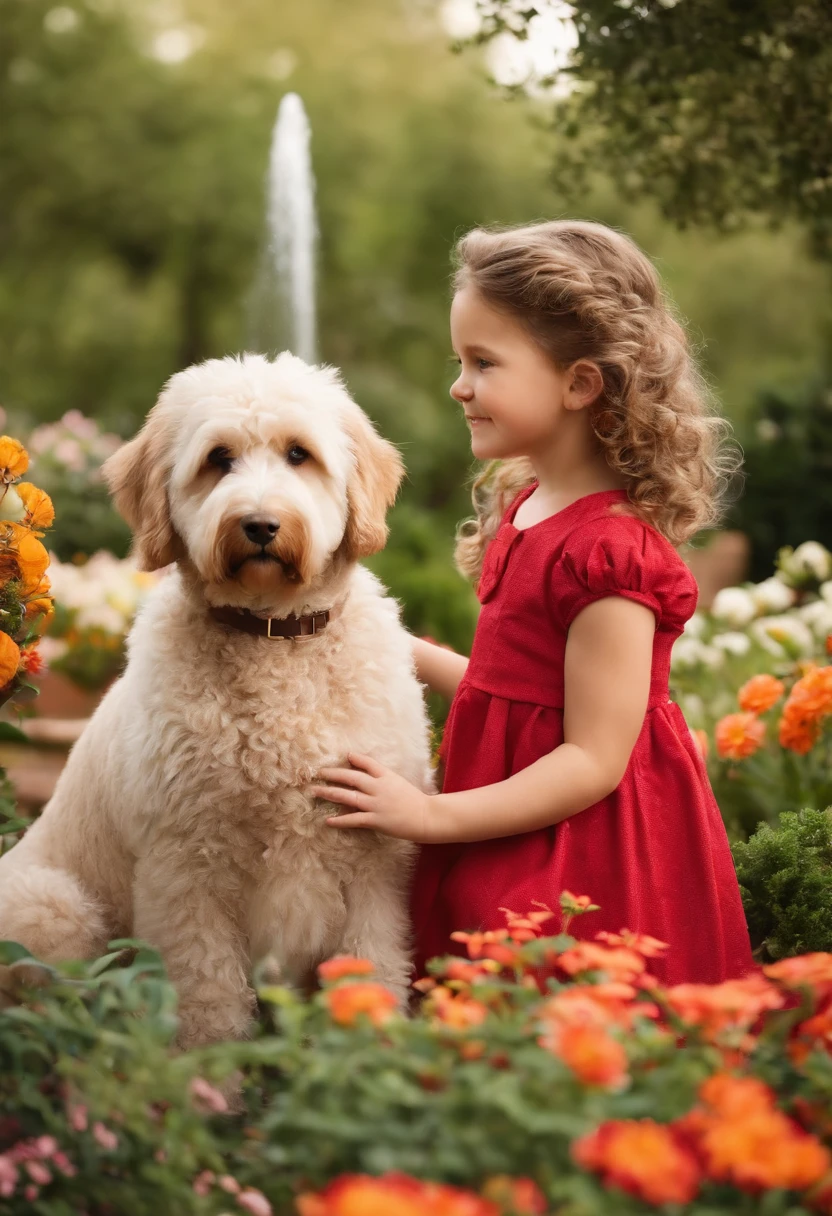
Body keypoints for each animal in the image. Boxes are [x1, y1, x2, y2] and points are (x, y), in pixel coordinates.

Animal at [1, 352, 435, 1045]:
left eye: (298, 454)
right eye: (218, 459)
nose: (259, 524)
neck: (273, 637)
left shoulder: (375, 863)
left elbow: (372, 966)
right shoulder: (187, 870)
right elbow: (209, 997)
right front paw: (213, 1073)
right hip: (53, 909)